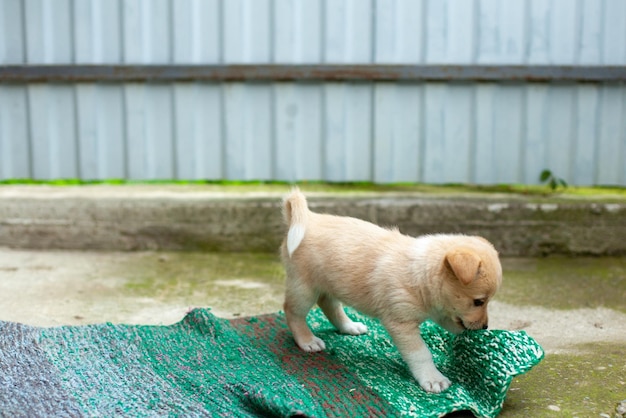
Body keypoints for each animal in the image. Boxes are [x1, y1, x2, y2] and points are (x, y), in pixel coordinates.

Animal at [280, 188, 500, 394]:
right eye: (479, 301)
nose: (485, 327)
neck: (419, 275)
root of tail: (308, 218)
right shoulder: (401, 324)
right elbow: (421, 353)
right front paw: (433, 378)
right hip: (304, 289)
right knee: (293, 312)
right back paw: (308, 341)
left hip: (330, 285)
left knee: (329, 305)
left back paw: (349, 326)